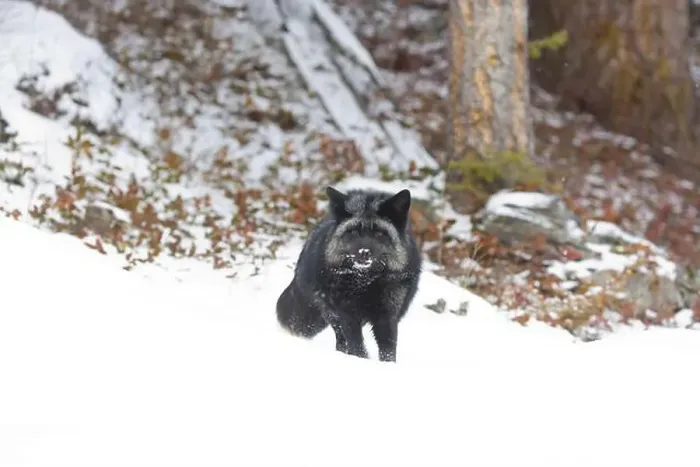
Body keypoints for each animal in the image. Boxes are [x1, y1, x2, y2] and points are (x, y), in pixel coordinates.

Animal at [276, 186, 422, 362]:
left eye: (379, 233)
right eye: (353, 232)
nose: (364, 252)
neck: (366, 282)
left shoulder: (388, 316)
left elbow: (388, 349)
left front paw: (388, 365)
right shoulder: (347, 314)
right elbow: (356, 344)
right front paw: (360, 360)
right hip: (330, 312)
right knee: (341, 340)